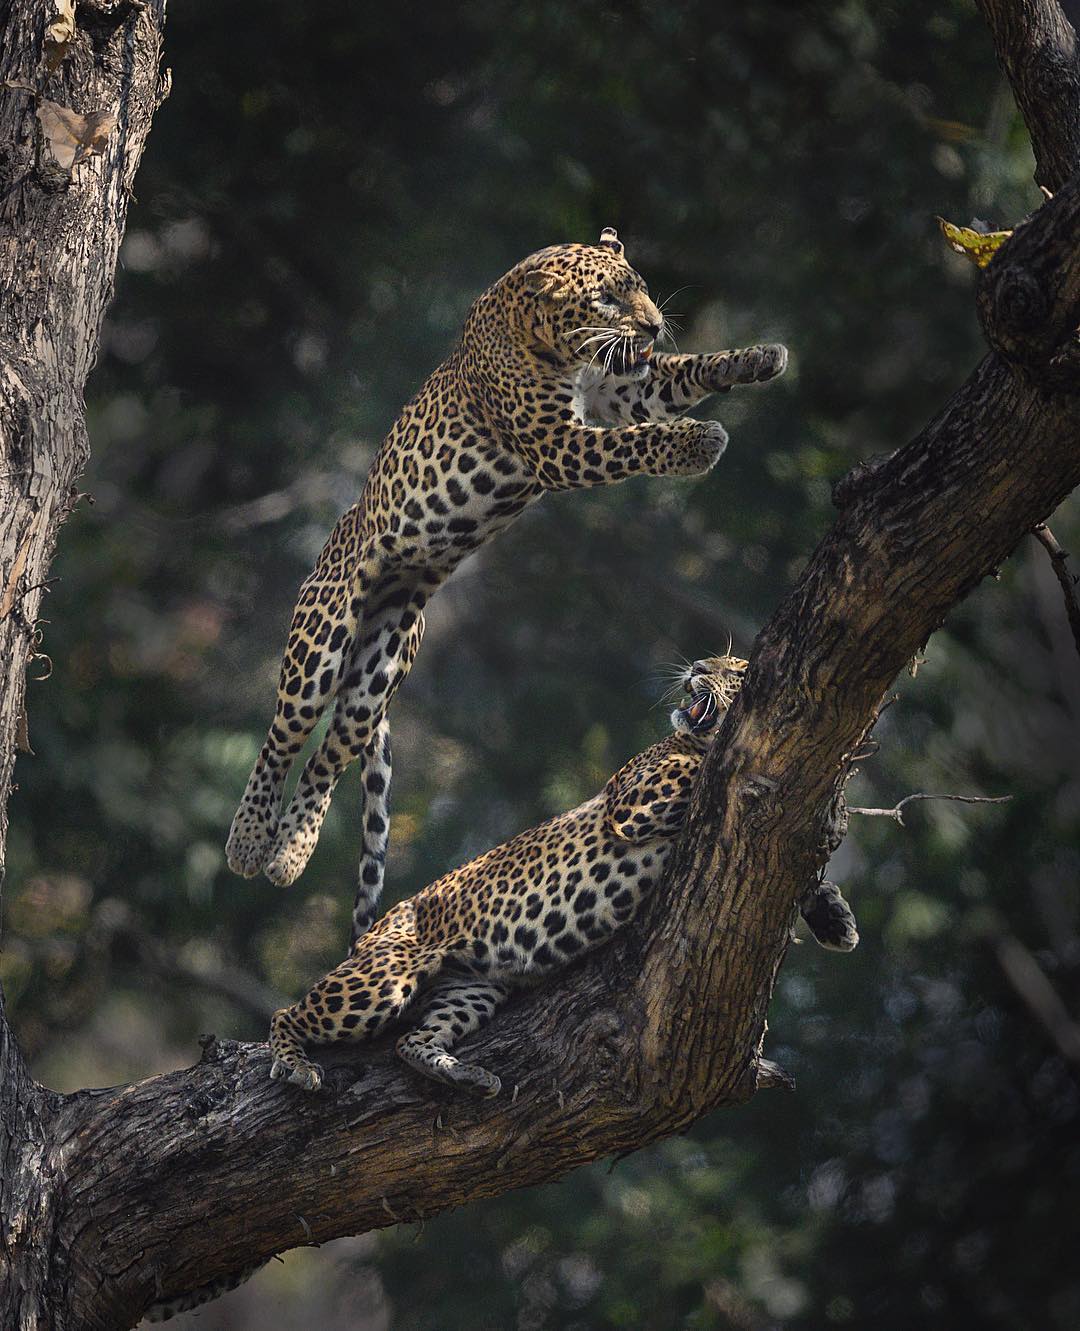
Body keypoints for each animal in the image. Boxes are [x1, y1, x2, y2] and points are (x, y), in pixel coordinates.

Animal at [226, 228, 783, 942]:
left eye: (639, 286)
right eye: (608, 298)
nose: (654, 324)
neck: (554, 342)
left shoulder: (621, 391)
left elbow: (682, 374)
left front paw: (757, 358)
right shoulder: (559, 444)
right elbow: (634, 443)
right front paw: (695, 443)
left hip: (378, 670)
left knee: (328, 757)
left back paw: (289, 855)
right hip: (322, 641)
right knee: (283, 735)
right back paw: (248, 843)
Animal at [267, 654, 852, 1102]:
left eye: (739, 669)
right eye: (721, 663)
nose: (698, 669)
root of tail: (385, 922)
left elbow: (805, 872)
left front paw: (834, 917)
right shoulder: (633, 796)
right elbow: (700, 767)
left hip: (471, 988)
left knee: (410, 1041)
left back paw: (463, 1075)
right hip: (384, 976)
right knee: (287, 1012)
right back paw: (295, 1064)